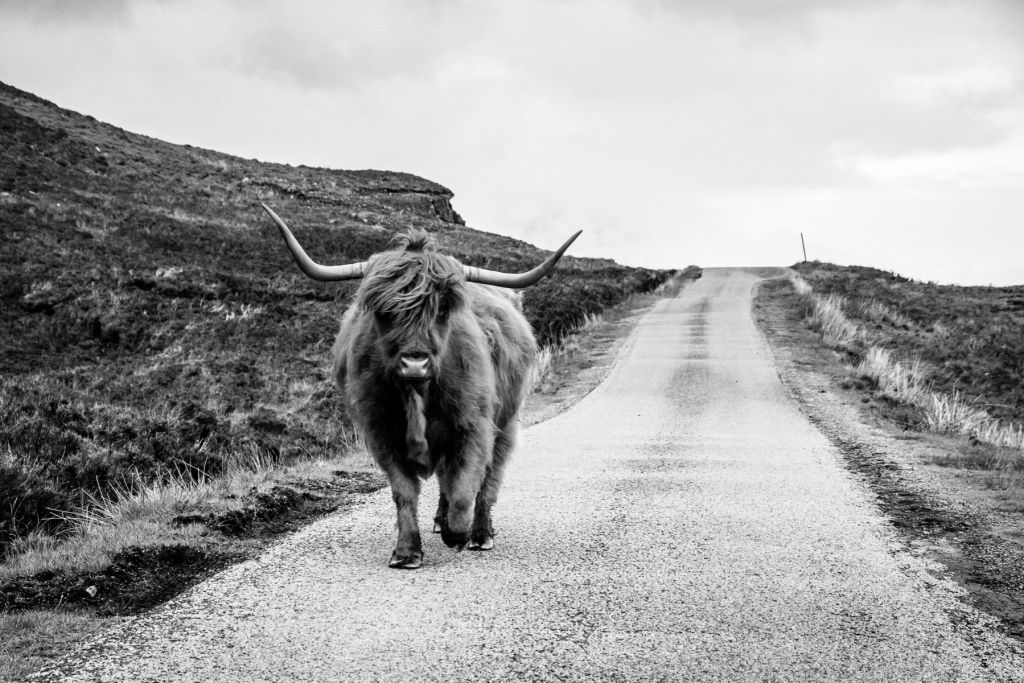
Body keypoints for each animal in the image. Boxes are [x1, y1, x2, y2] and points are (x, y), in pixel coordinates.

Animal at [260, 205, 581, 569]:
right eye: (384, 312)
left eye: (442, 310)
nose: (414, 364)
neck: (417, 397)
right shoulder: (382, 434)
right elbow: (404, 492)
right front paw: (406, 552)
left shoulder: (474, 427)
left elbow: (466, 487)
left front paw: (457, 533)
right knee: (446, 478)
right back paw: (441, 521)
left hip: (506, 422)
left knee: (488, 479)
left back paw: (480, 533)